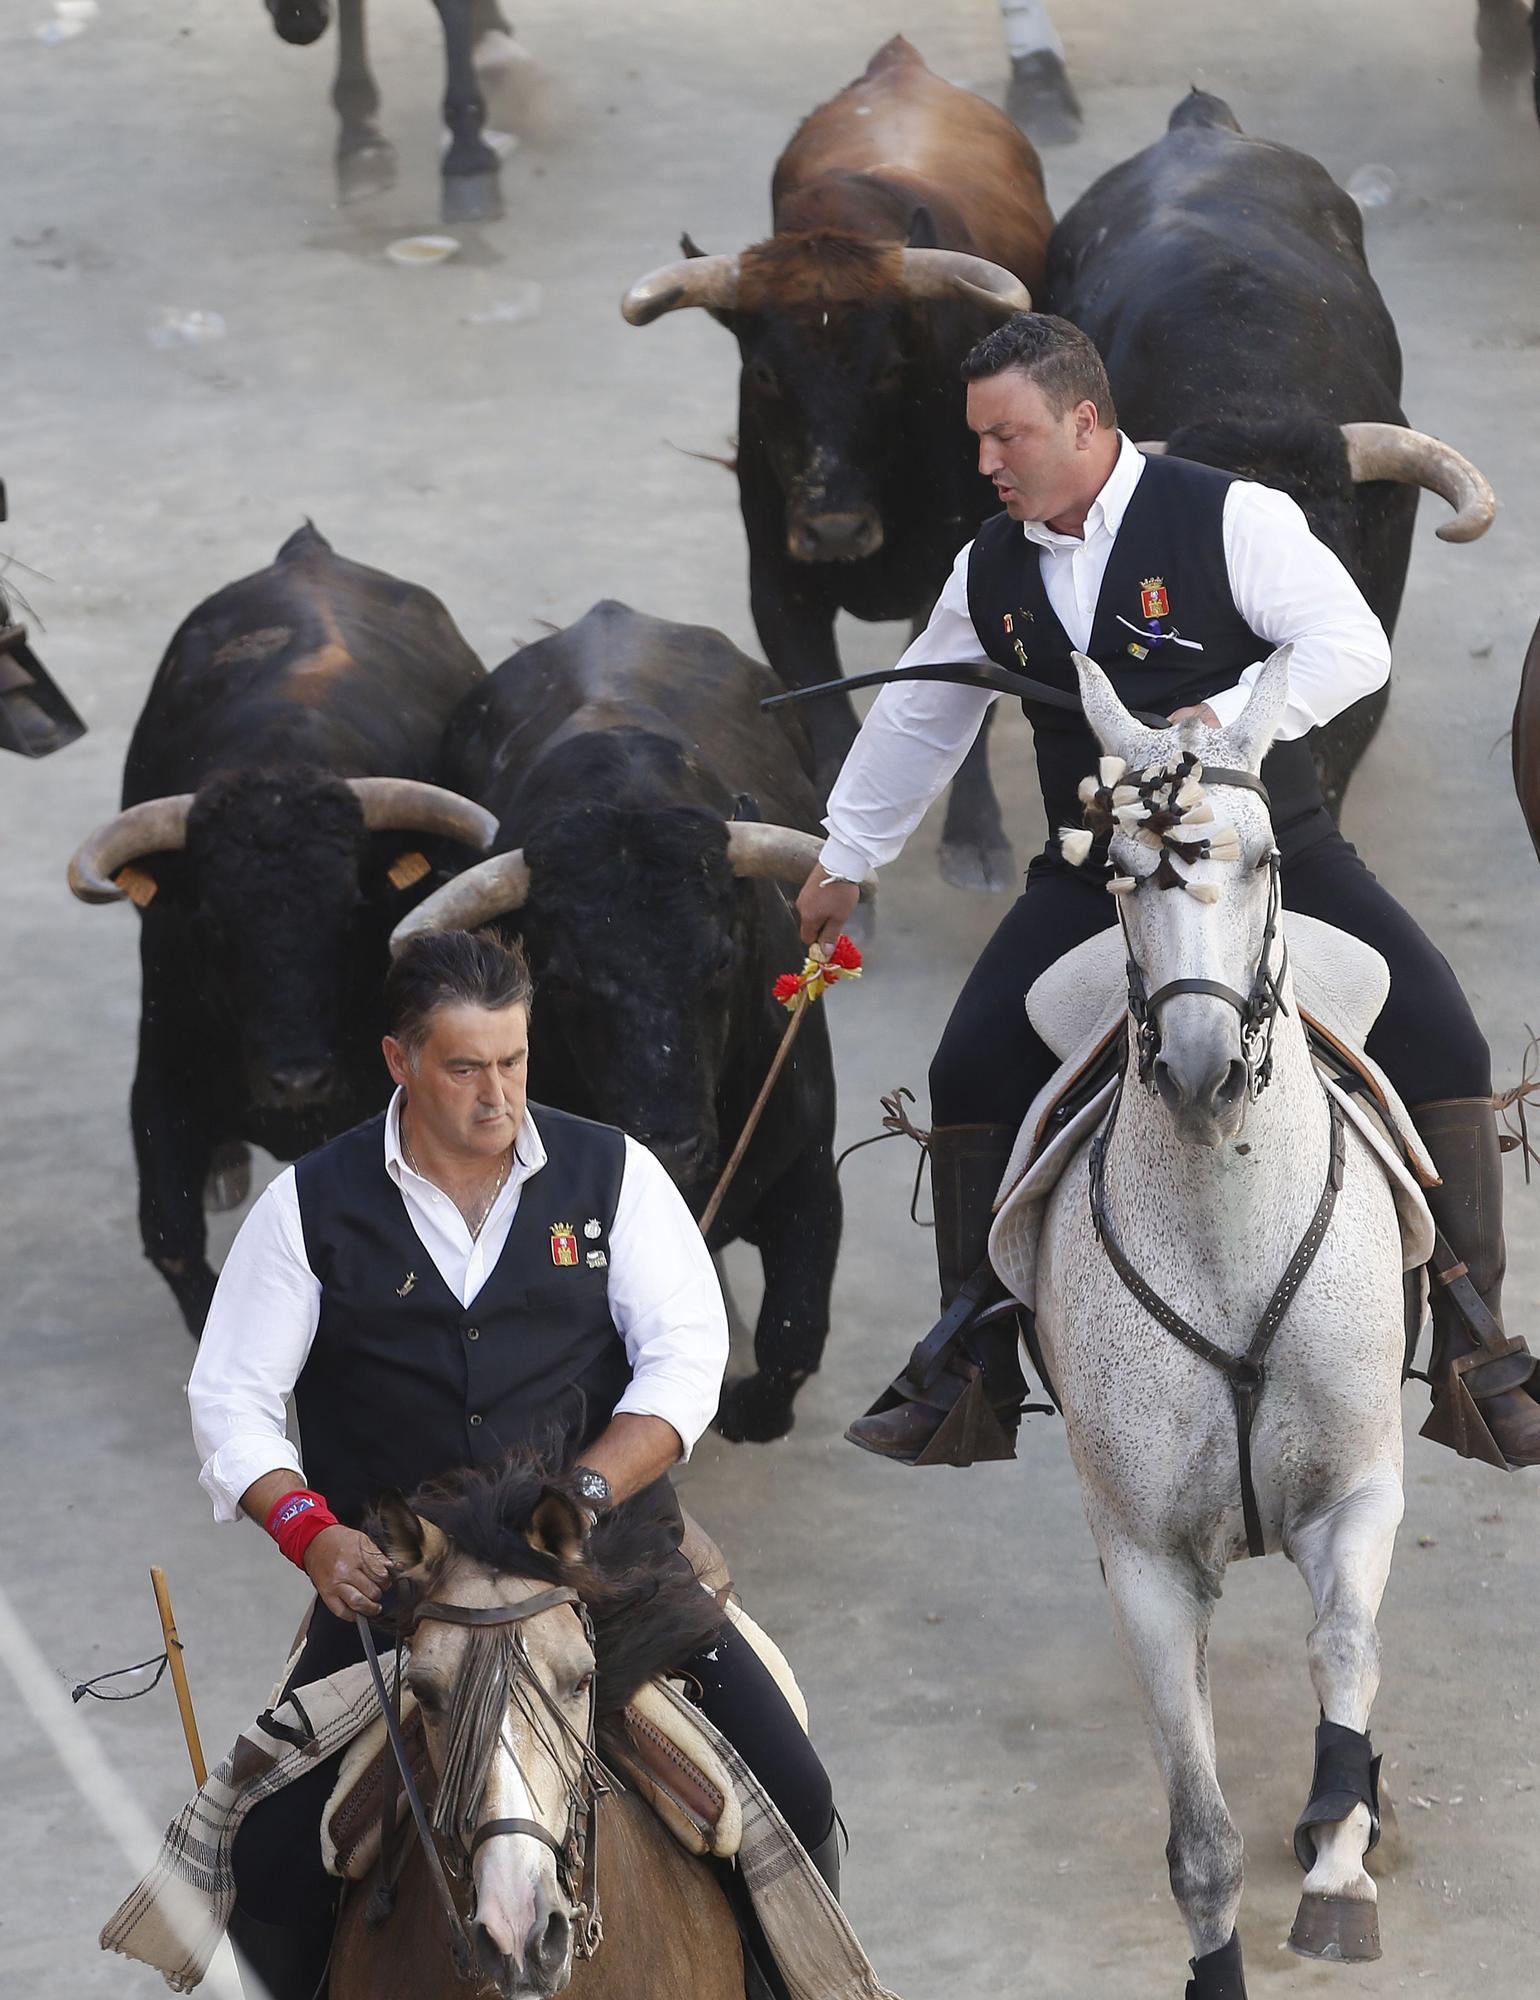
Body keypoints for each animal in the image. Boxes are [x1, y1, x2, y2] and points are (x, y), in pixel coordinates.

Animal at [396, 600, 852, 1448]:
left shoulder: (810, 1169)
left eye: (720, 959)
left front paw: (746, 1408)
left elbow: (794, 1333)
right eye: (564, 980)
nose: (668, 1147)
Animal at [1008, 648, 1416, 1992]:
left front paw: (1339, 1862)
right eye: (1119, 875)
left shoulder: (1356, 1492)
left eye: (1267, 860)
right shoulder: (1144, 1556)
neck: (1226, 1243)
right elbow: (1198, 1839)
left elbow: (1341, 1651)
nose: (1199, 1071)